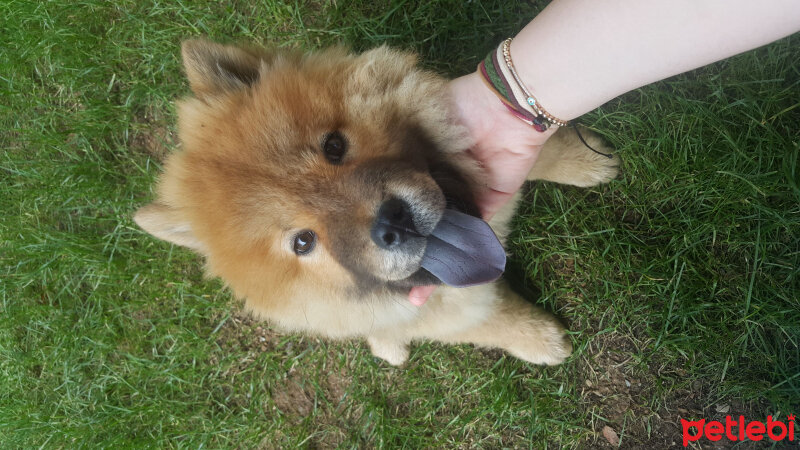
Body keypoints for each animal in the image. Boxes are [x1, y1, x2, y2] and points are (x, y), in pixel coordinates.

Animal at [134, 39, 620, 366]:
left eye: (333, 146)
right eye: (303, 242)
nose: (394, 223)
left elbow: (539, 152)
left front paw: (584, 160)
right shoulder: (437, 311)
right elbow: (493, 322)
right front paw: (542, 340)